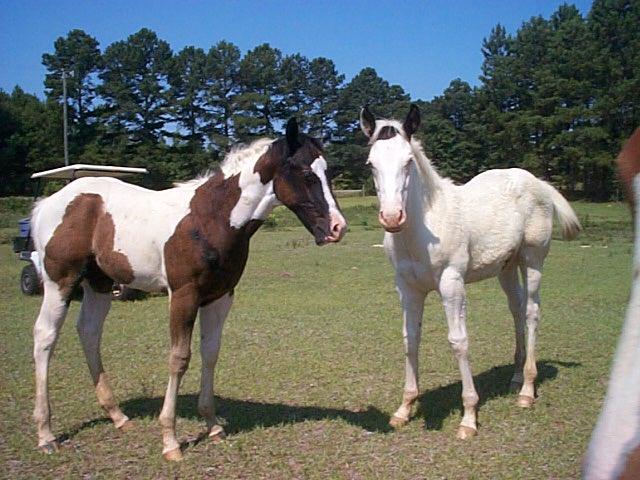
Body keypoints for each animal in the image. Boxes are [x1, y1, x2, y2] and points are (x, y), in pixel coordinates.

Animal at [31, 118, 344, 460]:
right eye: (305, 173)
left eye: (328, 173)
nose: (337, 228)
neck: (210, 218)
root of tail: (49, 203)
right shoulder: (183, 295)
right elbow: (179, 357)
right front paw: (170, 441)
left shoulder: (220, 297)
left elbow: (211, 353)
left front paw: (213, 426)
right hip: (60, 281)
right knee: (45, 336)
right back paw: (46, 434)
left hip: (99, 284)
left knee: (89, 332)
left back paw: (117, 417)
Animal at [360, 105, 580, 438]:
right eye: (371, 163)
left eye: (408, 161)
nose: (392, 217)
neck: (425, 227)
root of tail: (538, 183)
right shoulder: (408, 288)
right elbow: (410, 338)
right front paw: (404, 408)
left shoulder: (452, 283)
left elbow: (459, 341)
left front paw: (468, 417)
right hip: (506, 267)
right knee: (516, 309)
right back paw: (516, 377)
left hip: (532, 260)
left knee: (531, 312)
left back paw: (527, 390)